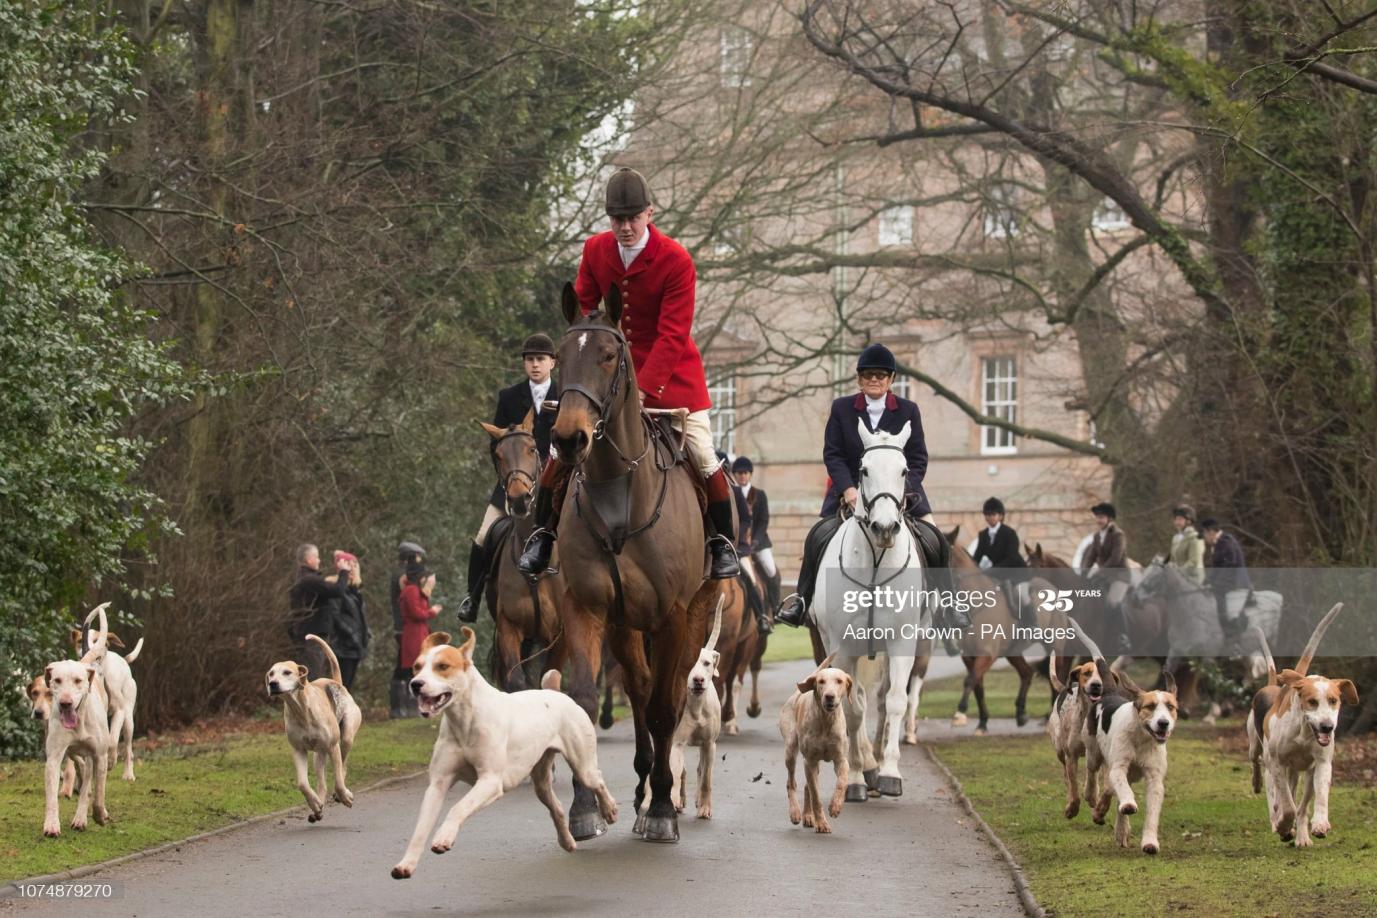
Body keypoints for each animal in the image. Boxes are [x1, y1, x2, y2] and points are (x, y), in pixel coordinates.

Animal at [481, 412, 567, 693]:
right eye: (499, 455)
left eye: (531, 449)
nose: (519, 500)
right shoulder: (509, 628)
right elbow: (518, 682)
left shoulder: (559, 636)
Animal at [548, 283, 721, 842]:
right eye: (559, 357)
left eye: (609, 355)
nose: (569, 438)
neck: (617, 492)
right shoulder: (585, 607)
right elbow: (584, 699)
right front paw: (584, 806)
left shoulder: (673, 617)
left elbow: (667, 708)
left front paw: (664, 809)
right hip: (625, 626)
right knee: (641, 689)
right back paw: (644, 784)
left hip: (692, 616)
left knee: (664, 693)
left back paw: (659, 795)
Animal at [809, 421, 930, 798]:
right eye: (863, 469)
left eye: (904, 470)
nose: (885, 528)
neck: (876, 562)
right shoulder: (843, 646)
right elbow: (851, 709)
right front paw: (857, 778)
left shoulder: (903, 642)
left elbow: (895, 700)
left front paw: (890, 772)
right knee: (857, 700)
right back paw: (864, 764)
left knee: (879, 698)